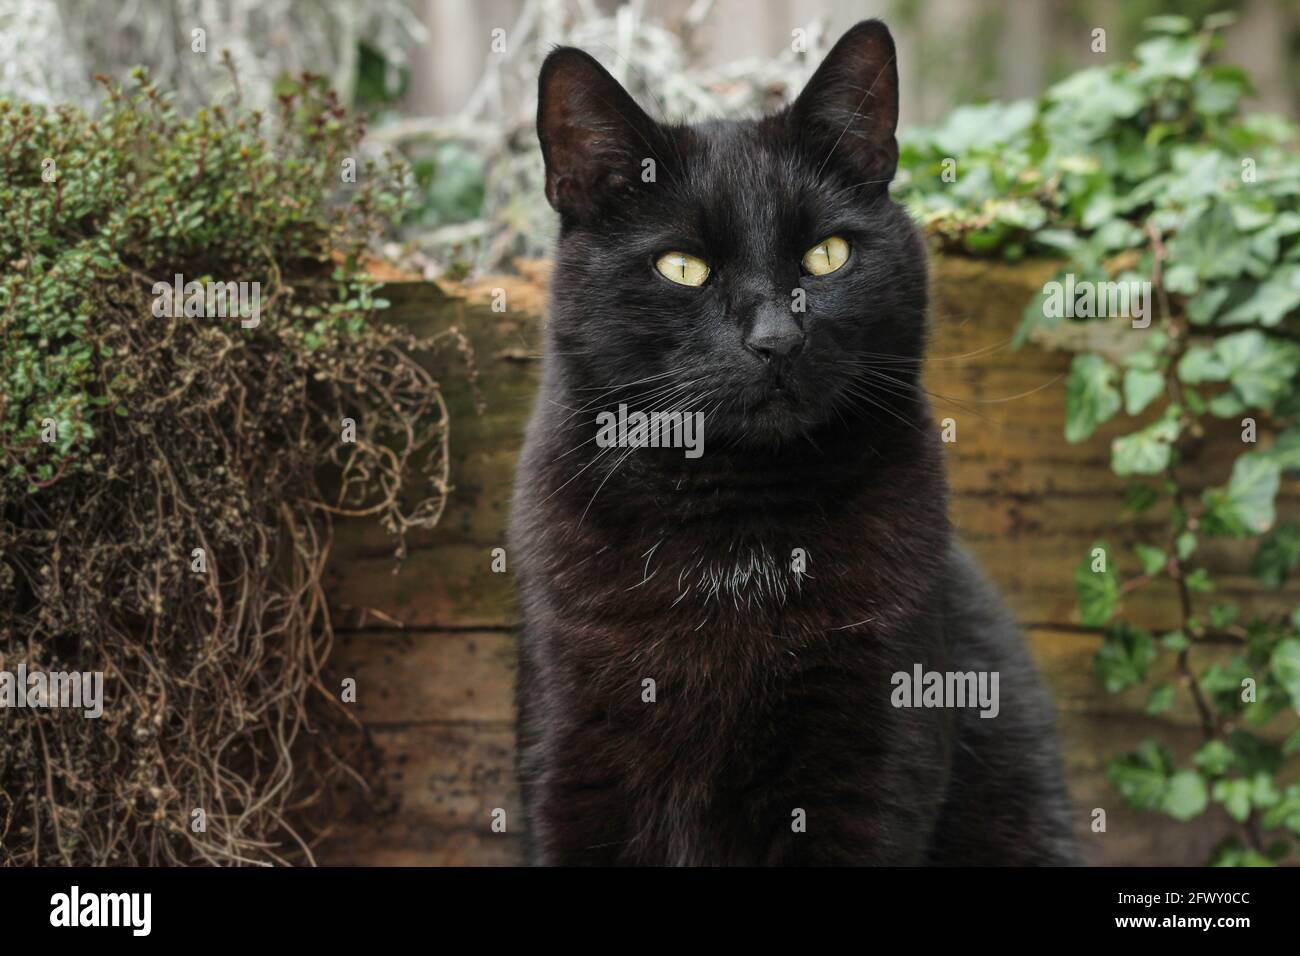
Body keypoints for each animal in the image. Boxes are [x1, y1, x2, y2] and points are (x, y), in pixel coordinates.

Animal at [506, 16, 1076, 868]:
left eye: (827, 254)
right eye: (683, 266)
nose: (776, 338)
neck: (736, 529)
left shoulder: (870, 749)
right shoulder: (574, 753)